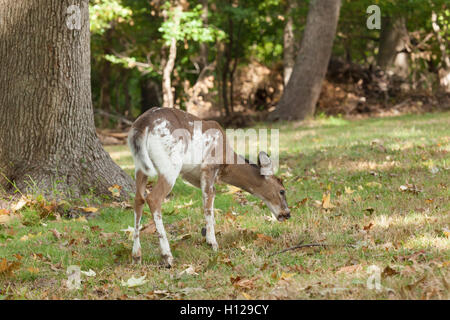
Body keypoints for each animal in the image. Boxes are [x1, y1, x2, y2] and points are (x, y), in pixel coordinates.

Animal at [128, 109, 290, 266]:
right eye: (282, 191)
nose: (287, 213)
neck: (226, 162)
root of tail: (143, 124)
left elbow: (209, 206)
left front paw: (207, 238)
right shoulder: (209, 167)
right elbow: (208, 206)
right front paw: (213, 244)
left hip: (140, 165)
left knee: (138, 199)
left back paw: (136, 256)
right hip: (170, 162)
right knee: (153, 198)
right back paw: (167, 256)